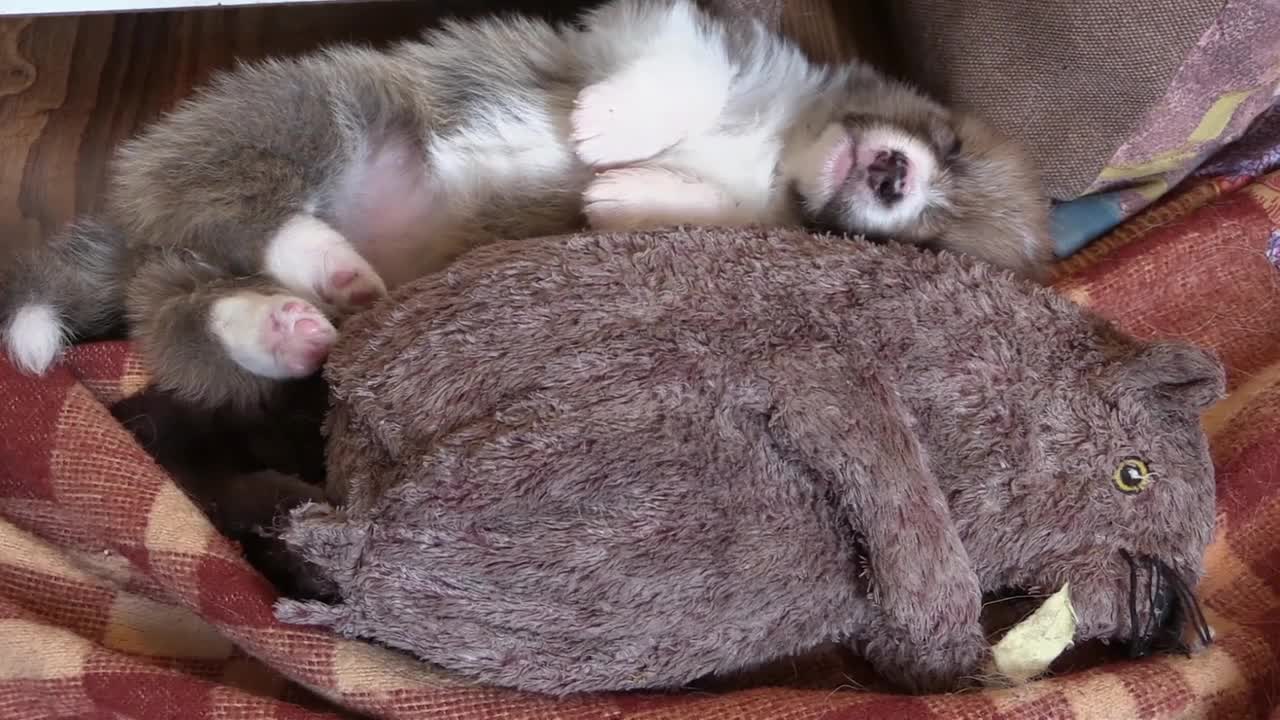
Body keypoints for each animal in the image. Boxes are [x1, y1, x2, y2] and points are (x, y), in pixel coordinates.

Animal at [0, 0, 1049, 412]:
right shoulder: (675, 34)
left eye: (923, 245)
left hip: (212, 262)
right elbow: (689, 78)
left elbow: (706, 212)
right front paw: (613, 129)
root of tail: (128, 222)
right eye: (951, 144)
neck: (780, 152)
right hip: (311, 114)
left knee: (193, 306)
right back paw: (313, 262)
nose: (894, 180)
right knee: (222, 217)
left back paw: (302, 308)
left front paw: (626, 187)